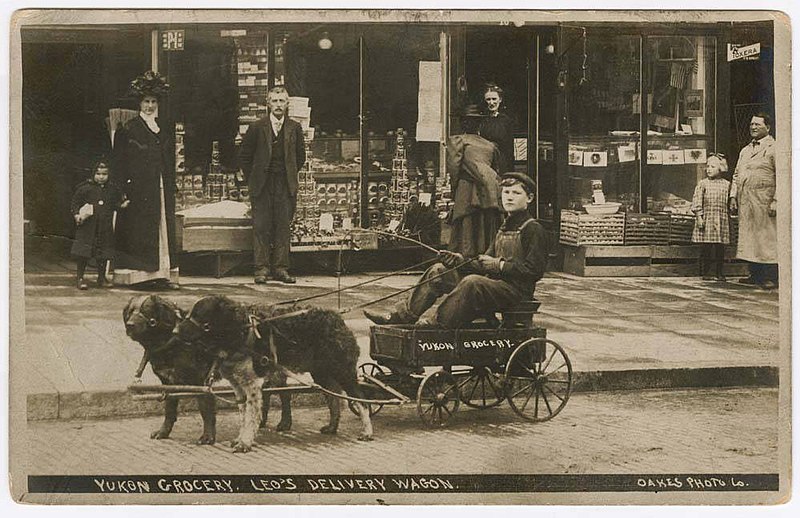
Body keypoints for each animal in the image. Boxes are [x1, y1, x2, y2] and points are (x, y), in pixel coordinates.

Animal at [172, 296, 372, 456]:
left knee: (360, 399)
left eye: (199, 316)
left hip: (342, 371)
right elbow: (244, 416)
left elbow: (251, 418)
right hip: (322, 373)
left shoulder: (252, 385)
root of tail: (338, 318)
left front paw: (245, 443)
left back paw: (367, 432)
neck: (241, 332)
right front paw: (240, 438)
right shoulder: (239, 387)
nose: (174, 332)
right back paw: (332, 426)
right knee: (334, 399)